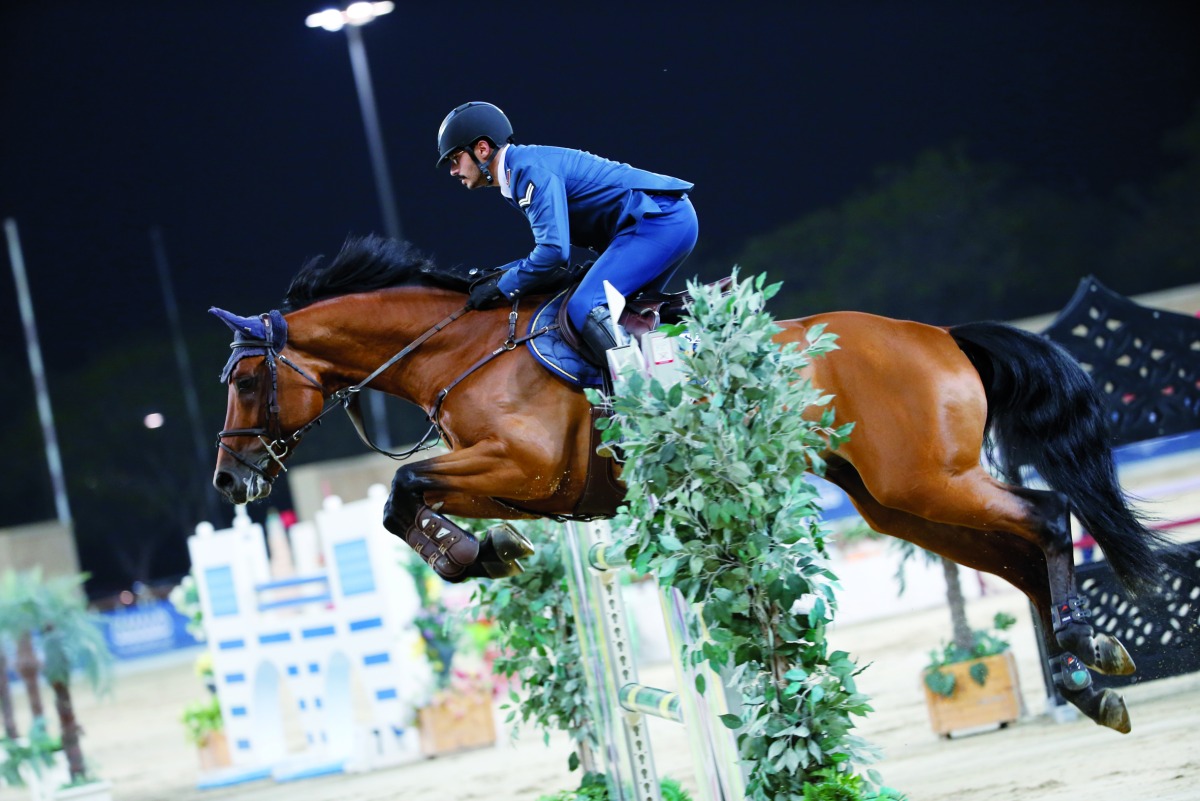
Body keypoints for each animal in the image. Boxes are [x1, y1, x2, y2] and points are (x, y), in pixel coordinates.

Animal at [211, 232, 1166, 733]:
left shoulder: (522, 463)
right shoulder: (532, 483)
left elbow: (400, 491)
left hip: (931, 480)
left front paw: (470, 554)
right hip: (902, 501)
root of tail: (940, 334)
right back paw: (1092, 673)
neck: (460, 348)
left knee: (1047, 516)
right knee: (1018, 555)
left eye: (248, 380)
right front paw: (486, 550)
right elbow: (410, 501)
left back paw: (1083, 659)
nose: (230, 480)